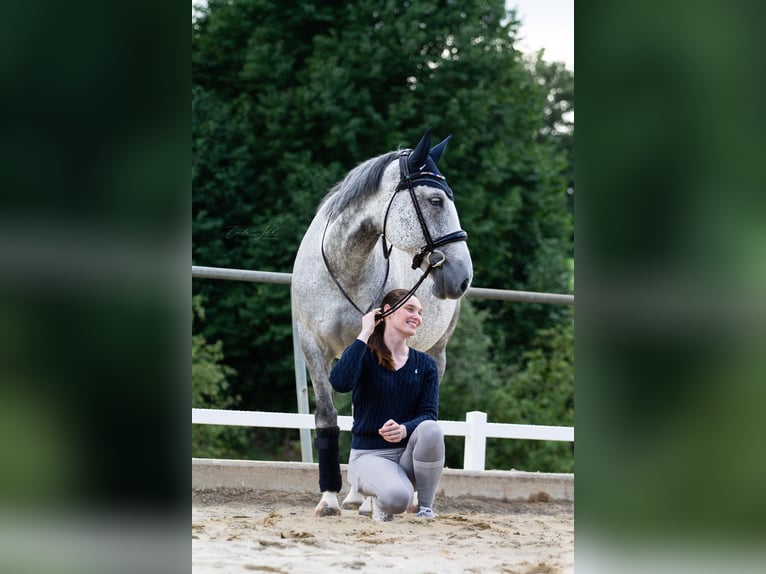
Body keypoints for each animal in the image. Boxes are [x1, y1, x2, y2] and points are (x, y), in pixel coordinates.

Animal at [292, 130, 474, 516]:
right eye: (436, 200)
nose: (463, 277)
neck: (346, 264)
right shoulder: (314, 348)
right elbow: (329, 416)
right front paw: (329, 499)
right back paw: (354, 495)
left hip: (437, 352)